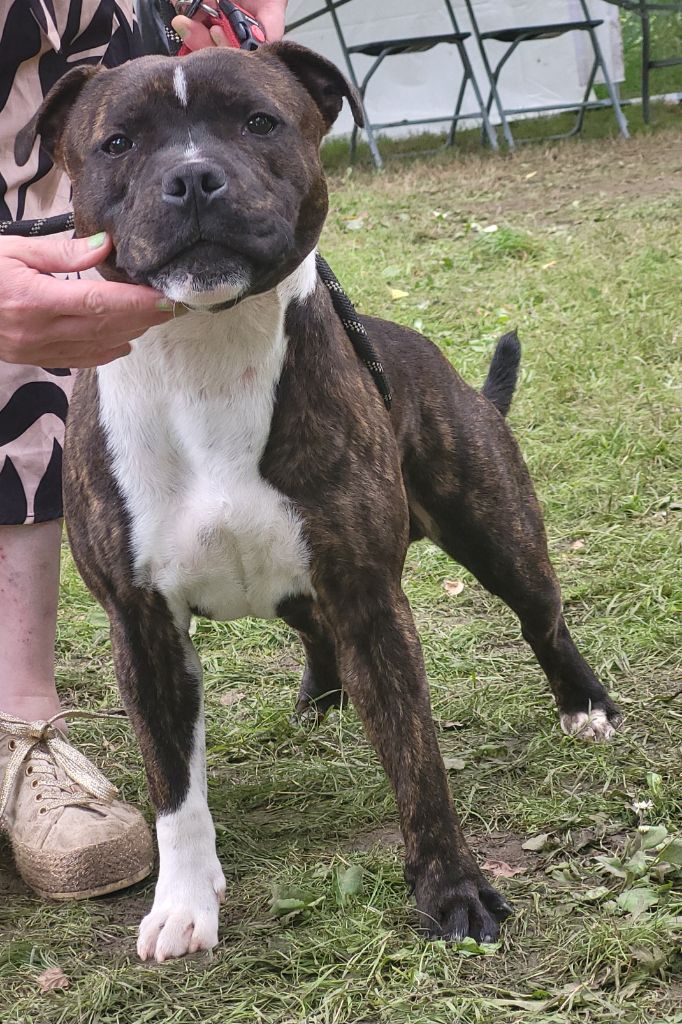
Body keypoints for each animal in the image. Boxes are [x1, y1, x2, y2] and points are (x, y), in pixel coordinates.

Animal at [17, 42, 621, 963]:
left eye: (259, 122)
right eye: (117, 143)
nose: (193, 178)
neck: (208, 354)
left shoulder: (371, 601)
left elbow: (418, 763)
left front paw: (453, 890)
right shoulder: (142, 625)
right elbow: (172, 788)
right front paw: (183, 904)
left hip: (496, 532)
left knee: (543, 620)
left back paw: (584, 706)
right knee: (313, 633)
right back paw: (322, 699)